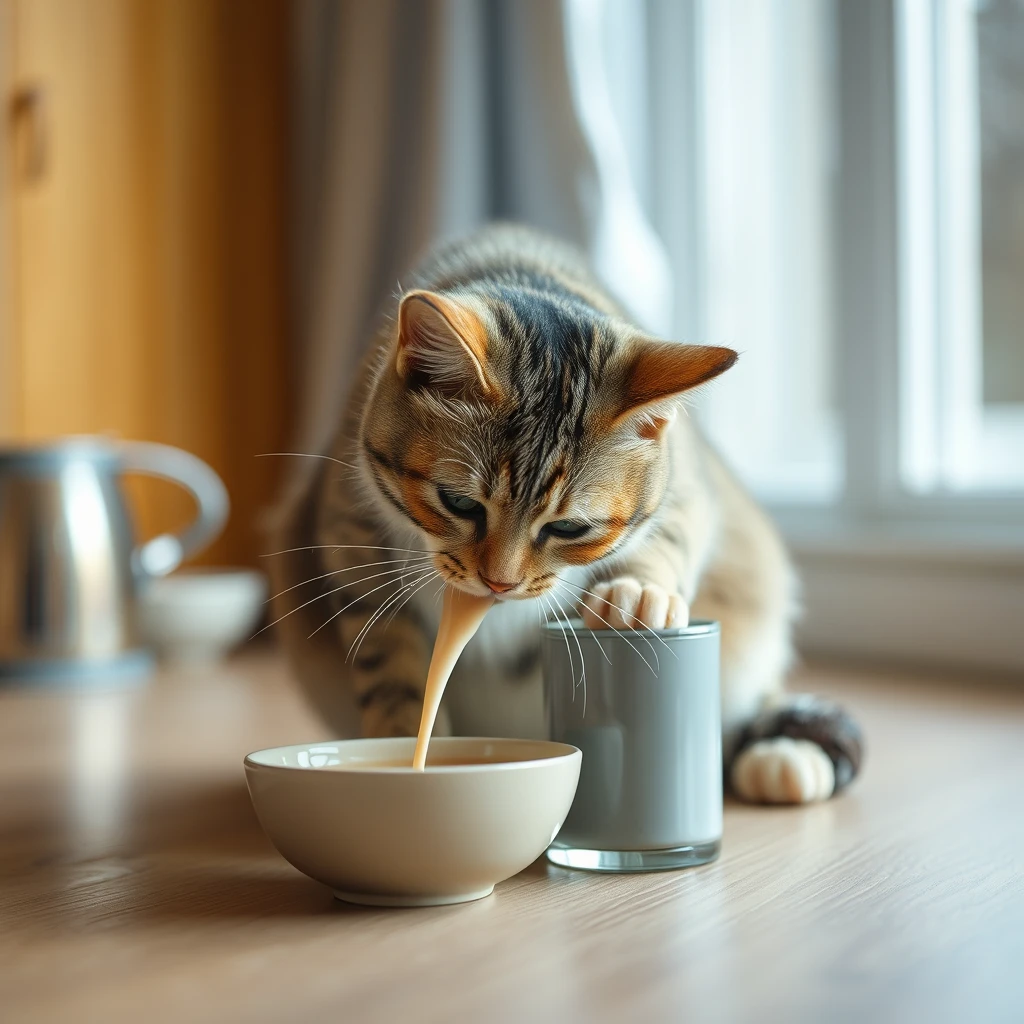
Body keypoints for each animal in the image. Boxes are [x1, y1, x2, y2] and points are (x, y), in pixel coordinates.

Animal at [268, 226, 860, 806]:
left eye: (570, 527)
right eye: (459, 502)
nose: (498, 583)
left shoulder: (688, 480)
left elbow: (671, 532)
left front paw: (636, 593)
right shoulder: (349, 532)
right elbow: (393, 674)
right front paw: (405, 755)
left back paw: (781, 757)